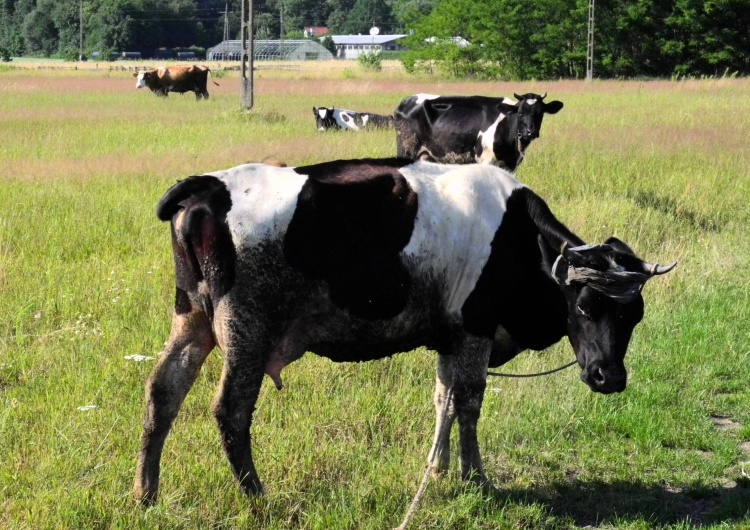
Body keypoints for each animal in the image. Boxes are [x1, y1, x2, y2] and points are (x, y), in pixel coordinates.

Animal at [400, 92, 564, 170]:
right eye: (520, 113)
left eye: (540, 113)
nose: (530, 132)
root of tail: (406, 101)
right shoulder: (485, 160)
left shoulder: (510, 164)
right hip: (407, 149)